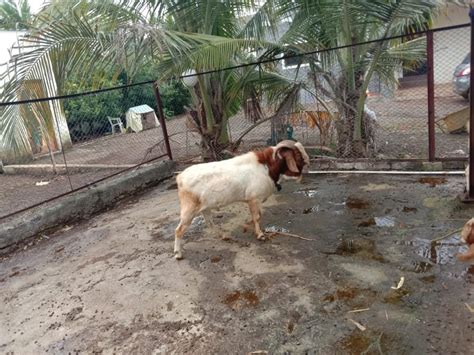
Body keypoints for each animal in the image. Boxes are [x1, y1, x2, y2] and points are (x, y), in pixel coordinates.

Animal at [172, 140, 310, 260]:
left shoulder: (254, 200)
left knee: (209, 223)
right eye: (298, 155)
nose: (307, 166)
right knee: (179, 230)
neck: (266, 167)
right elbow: (257, 217)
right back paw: (178, 254)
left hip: (205, 208)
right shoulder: (254, 199)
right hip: (189, 209)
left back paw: (225, 236)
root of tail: (180, 177)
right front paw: (260, 235)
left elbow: (258, 215)